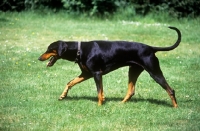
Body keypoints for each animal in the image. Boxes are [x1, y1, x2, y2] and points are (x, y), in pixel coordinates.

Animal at [38, 26, 181, 107]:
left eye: (49, 49)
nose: (39, 58)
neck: (80, 50)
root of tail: (151, 48)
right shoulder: (86, 74)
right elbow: (70, 83)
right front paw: (63, 96)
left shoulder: (96, 73)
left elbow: (99, 91)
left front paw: (99, 106)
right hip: (133, 70)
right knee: (131, 90)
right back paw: (121, 104)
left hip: (154, 72)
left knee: (170, 90)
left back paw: (175, 107)